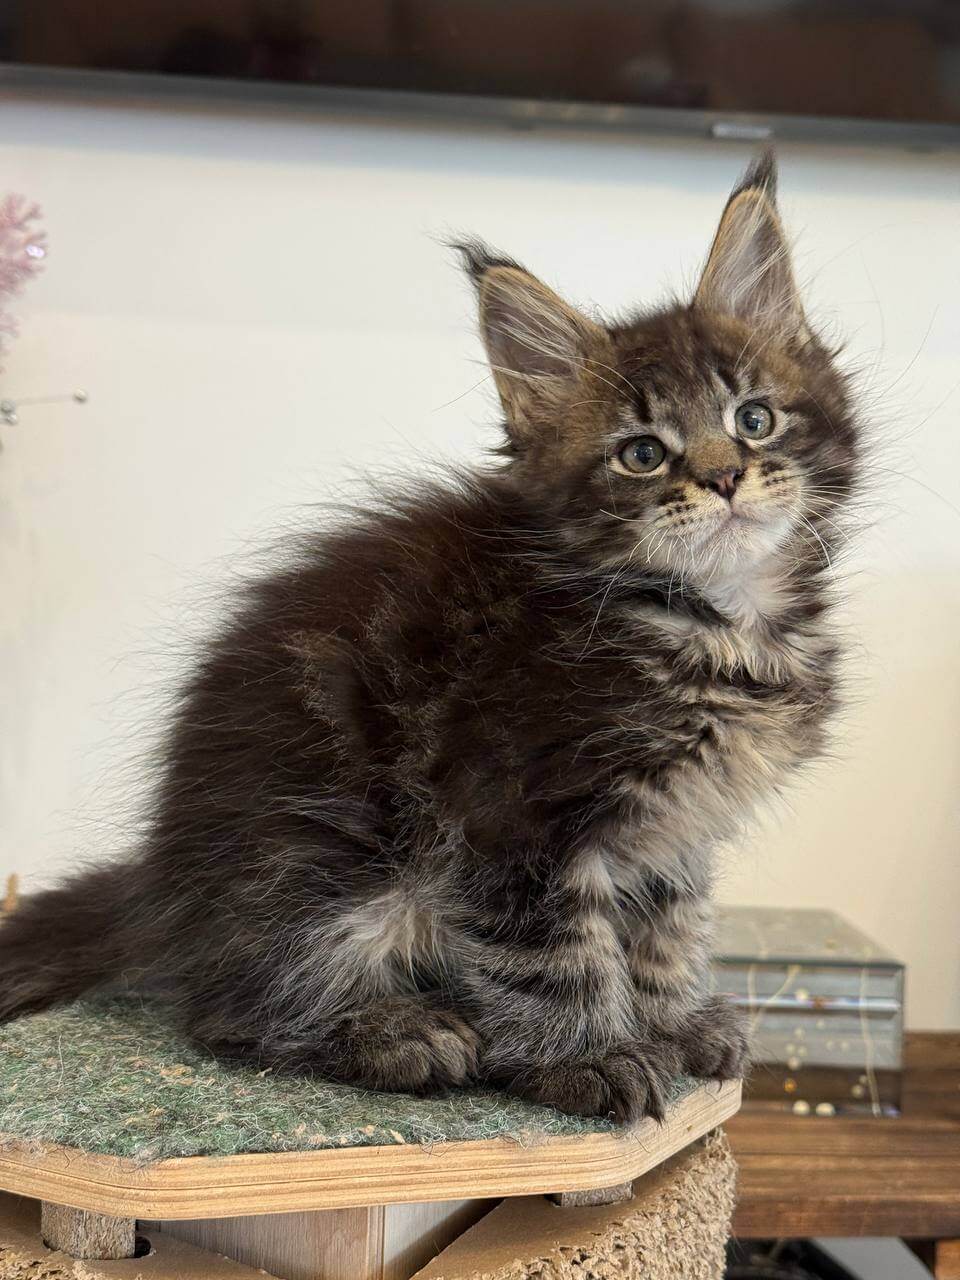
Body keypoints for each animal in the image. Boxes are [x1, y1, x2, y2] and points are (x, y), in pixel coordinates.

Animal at [0, 154, 858, 1121]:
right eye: (641, 454)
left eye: (754, 418)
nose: (722, 478)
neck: (719, 622)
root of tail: (164, 875)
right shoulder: (507, 809)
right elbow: (555, 953)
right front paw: (593, 1055)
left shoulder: (673, 832)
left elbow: (662, 930)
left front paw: (669, 1023)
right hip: (324, 864)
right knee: (231, 1010)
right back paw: (393, 1031)